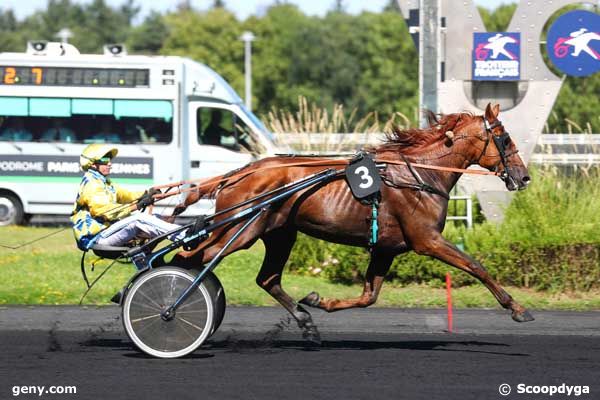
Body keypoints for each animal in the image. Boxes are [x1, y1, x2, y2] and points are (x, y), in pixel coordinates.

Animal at [171, 104, 532, 342]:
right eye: (505, 139)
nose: (524, 176)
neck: (420, 174)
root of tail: (238, 173)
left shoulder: (386, 248)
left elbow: (368, 296)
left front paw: (318, 301)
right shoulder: (426, 240)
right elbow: (476, 266)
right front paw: (517, 308)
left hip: (279, 233)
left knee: (267, 278)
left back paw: (305, 321)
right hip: (239, 230)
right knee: (187, 258)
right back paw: (171, 309)